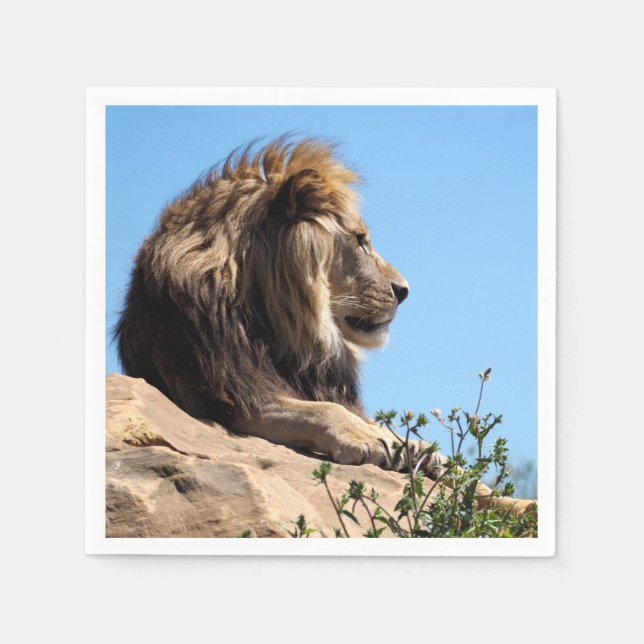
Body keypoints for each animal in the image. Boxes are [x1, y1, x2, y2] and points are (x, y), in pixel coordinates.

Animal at [115, 137, 534, 516]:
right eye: (360, 240)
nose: (404, 291)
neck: (283, 325)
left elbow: (457, 471)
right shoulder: (223, 394)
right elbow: (321, 410)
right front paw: (367, 439)